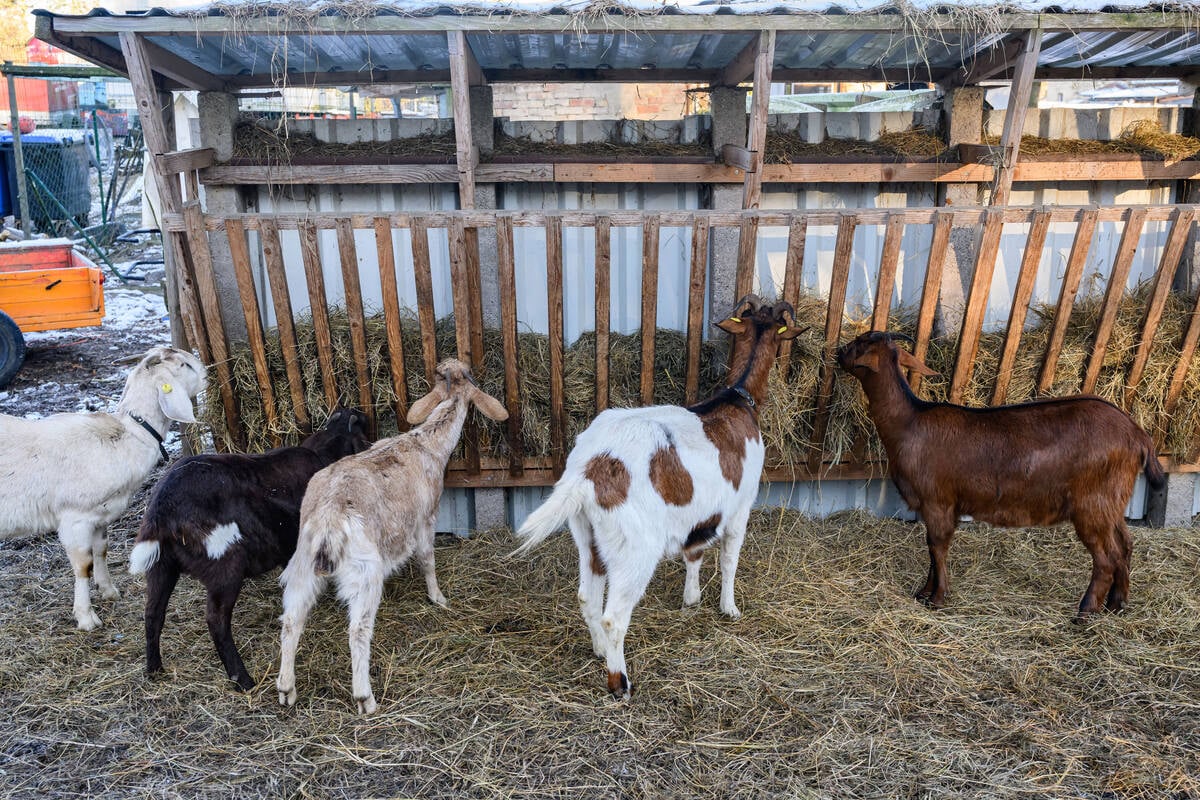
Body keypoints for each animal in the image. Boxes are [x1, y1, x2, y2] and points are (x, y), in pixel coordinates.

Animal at [0, 347, 205, 628]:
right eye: (185, 365)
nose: (207, 374)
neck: (128, 435)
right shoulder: (75, 518)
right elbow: (83, 565)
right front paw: (86, 617)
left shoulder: (99, 515)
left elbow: (102, 550)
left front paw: (109, 590)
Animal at [130, 410, 369, 690]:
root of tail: (162, 511)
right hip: (224, 566)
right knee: (216, 620)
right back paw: (243, 679)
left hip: (160, 565)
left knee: (152, 613)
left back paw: (154, 668)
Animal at [511, 297, 801, 695]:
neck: (737, 401)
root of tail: (588, 471)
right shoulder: (740, 506)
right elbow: (729, 559)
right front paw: (729, 608)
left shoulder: (698, 515)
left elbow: (694, 553)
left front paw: (691, 599)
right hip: (636, 547)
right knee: (614, 617)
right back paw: (620, 682)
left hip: (589, 535)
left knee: (588, 595)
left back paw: (599, 651)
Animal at [835, 331, 1161, 618]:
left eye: (860, 343)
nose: (838, 351)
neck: (909, 422)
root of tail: (1138, 435)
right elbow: (931, 549)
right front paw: (924, 592)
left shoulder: (937, 501)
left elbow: (937, 547)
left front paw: (937, 598)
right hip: (1112, 502)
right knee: (1125, 546)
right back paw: (1117, 604)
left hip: (1091, 505)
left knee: (1106, 557)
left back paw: (1084, 612)